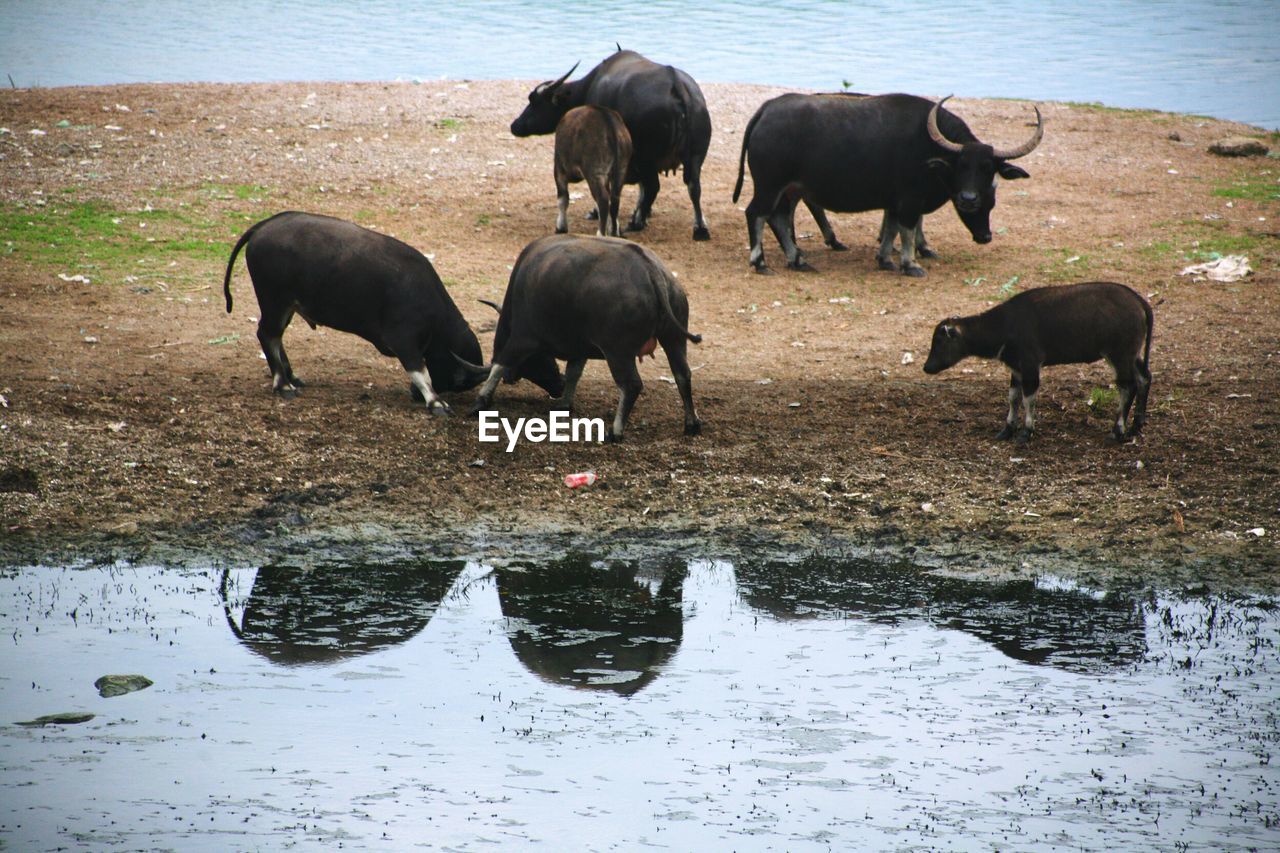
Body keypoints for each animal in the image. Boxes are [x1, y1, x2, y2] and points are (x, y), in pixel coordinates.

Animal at [220, 211, 483, 412]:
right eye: (458, 382)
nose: (414, 396)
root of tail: (264, 225)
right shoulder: (403, 340)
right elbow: (421, 372)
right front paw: (435, 402)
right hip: (275, 302)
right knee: (267, 335)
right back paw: (283, 385)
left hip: (287, 306)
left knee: (276, 337)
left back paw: (290, 376)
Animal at [552, 103, 632, 235]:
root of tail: (610, 123)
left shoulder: (559, 169)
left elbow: (563, 199)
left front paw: (561, 227)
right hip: (621, 169)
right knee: (614, 199)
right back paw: (614, 232)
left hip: (594, 172)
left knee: (603, 199)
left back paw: (601, 233)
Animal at [737, 93, 1044, 274]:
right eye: (962, 165)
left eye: (988, 169)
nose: (969, 199)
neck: (929, 148)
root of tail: (767, 110)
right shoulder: (910, 200)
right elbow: (906, 229)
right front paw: (910, 264)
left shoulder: (895, 202)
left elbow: (892, 229)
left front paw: (885, 259)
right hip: (769, 186)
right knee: (757, 214)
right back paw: (760, 262)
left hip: (788, 190)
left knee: (778, 217)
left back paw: (797, 259)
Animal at [921, 280, 1152, 440]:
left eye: (939, 341)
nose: (927, 367)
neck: (1005, 326)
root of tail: (1139, 301)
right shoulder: (1016, 368)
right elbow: (1013, 397)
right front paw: (1007, 429)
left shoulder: (1031, 365)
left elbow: (1028, 398)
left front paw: (1026, 431)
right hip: (1132, 355)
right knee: (1144, 378)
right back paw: (1136, 425)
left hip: (1120, 355)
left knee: (1127, 386)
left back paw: (1118, 430)